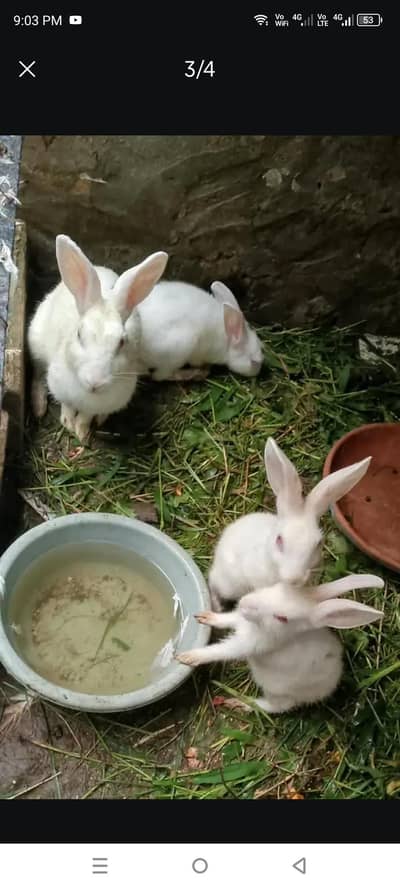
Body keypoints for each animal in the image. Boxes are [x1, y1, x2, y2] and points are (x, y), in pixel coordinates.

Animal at [27, 235, 168, 441]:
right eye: (79, 334)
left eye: (122, 342)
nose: (95, 382)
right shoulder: (60, 389)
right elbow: (67, 406)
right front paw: (68, 423)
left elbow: (86, 416)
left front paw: (82, 432)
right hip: (36, 341)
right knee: (37, 372)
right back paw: (38, 406)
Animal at [177, 573, 384, 714]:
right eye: (277, 587)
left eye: (282, 618)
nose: (245, 603)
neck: (255, 626)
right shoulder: (238, 621)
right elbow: (225, 620)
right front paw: (206, 617)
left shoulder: (247, 644)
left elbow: (219, 651)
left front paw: (187, 657)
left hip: (278, 692)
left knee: (276, 707)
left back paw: (239, 702)